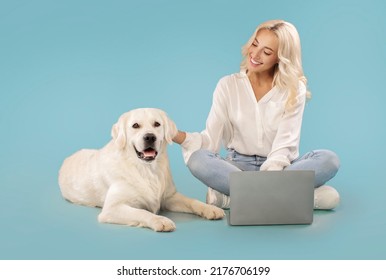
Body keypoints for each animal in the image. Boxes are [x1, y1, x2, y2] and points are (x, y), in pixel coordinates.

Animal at [58, 108, 225, 231]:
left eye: (157, 124)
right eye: (135, 126)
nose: (150, 137)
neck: (146, 169)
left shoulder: (169, 197)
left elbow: (192, 201)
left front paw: (210, 208)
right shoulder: (112, 208)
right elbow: (142, 212)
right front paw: (160, 220)